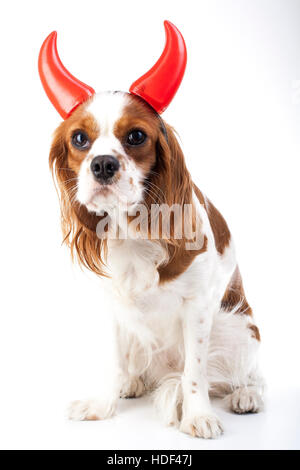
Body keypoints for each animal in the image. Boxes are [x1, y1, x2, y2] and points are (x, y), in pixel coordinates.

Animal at [39, 20, 262, 438]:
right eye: (79, 139)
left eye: (136, 136)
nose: (103, 164)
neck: (132, 232)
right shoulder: (113, 308)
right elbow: (112, 362)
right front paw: (102, 404)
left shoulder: (198, 308)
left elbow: (194, 373)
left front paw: (198, 416)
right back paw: (132, 382)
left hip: (239, 327)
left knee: (248, 375)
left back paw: (246, 395)